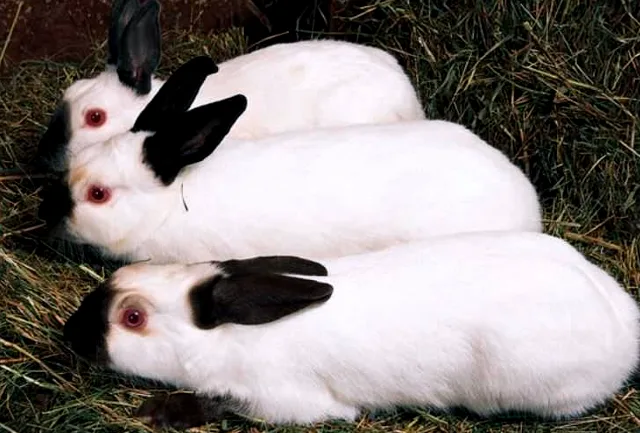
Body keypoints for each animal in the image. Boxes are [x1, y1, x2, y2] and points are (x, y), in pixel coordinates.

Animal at [61, 231, 640, 426]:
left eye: (132, 318)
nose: (70, 336)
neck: (224, 338)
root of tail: (624, 326)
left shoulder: (283, 402)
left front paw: (158, 413)